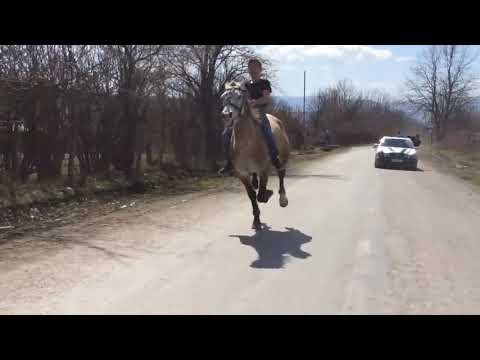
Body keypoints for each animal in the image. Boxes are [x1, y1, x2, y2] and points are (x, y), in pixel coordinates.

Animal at [220, 80, 290, 229]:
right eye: (223, 97)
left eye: (239, 96)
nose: (226, 115)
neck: (246, 142)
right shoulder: (242, 174)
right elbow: (252, 195)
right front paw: (256, 220)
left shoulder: (264, 169)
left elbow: (261, 195)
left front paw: (268, 193)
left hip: (282, 158)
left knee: (281, 173)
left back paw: (283, 199)